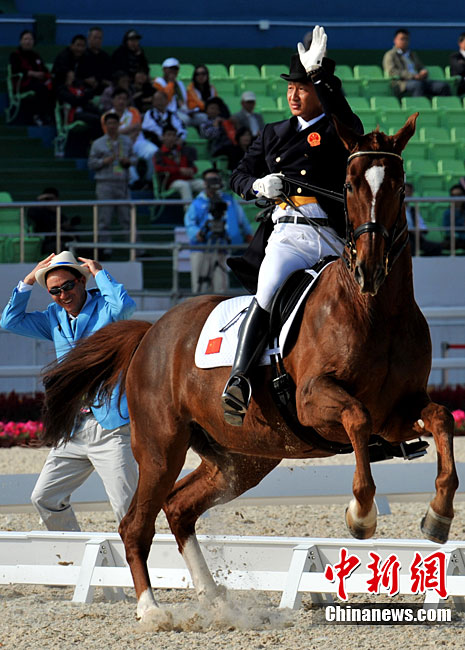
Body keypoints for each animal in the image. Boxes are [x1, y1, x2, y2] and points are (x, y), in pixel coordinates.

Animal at [41, 113, 458, 623]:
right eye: (349, 183)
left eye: (398, 184)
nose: (370, 269)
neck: (376, 310)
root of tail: (152, 331)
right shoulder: (317, 403)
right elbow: (356, 419)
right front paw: (361, 515)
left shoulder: (398, 412)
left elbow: (441, 418)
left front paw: (438, 514)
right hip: (161, 446)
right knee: (135, 523)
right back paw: (152, 611)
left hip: (242, 458)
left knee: (179, 508)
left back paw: (214, 599)